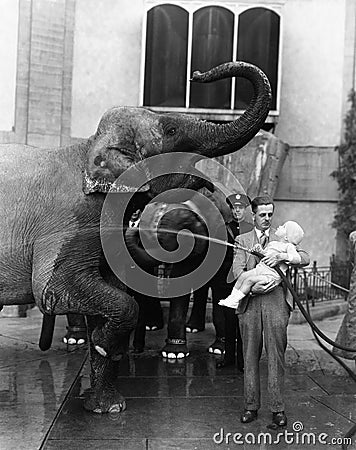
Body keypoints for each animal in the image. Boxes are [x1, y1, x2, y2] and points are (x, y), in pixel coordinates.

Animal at [0, 61, 270, 414]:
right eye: (171, 130)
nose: (196, 74)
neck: (89, 146)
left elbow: (109, 293)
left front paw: (107, 406)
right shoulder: (70, 222)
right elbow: (55, 290)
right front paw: (105, 350)